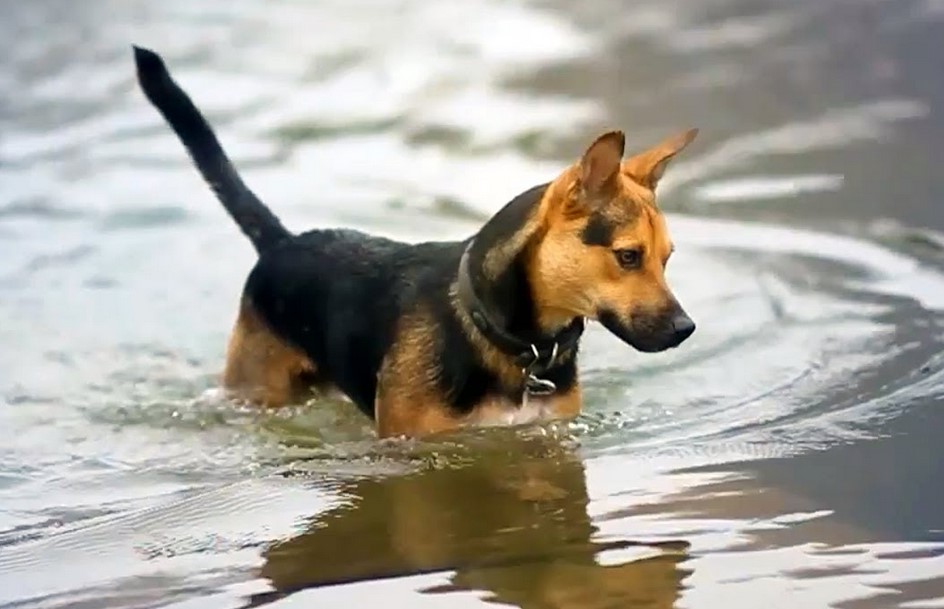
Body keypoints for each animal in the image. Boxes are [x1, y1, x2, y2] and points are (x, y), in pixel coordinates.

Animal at [133, 46, 696, 436]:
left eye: (669, 259)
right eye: (628, 256)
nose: (686, 329)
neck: (505, 335)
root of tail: (282, 242)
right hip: (257, 387)